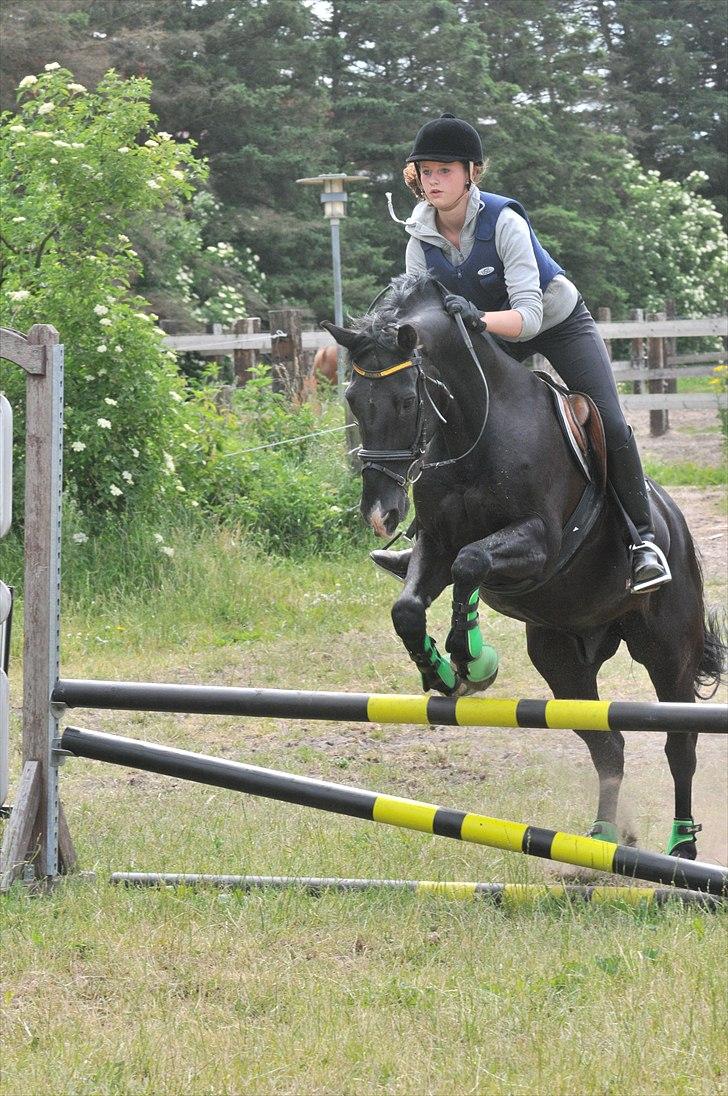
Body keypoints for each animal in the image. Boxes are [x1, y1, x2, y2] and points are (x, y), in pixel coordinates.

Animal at [324, 274, 728, 854]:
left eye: (405, 401)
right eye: (353, 400)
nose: (381, 514)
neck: (472, 428)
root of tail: (675, 522)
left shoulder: (540, 545)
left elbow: (472, 563)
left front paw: (471, 657)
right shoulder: (436, 544)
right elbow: (411, 605)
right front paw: (445, 670)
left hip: (668, 650)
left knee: (680, 744)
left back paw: (682, 848)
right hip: (561, 659)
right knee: (608, 743)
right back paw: (602, 840)